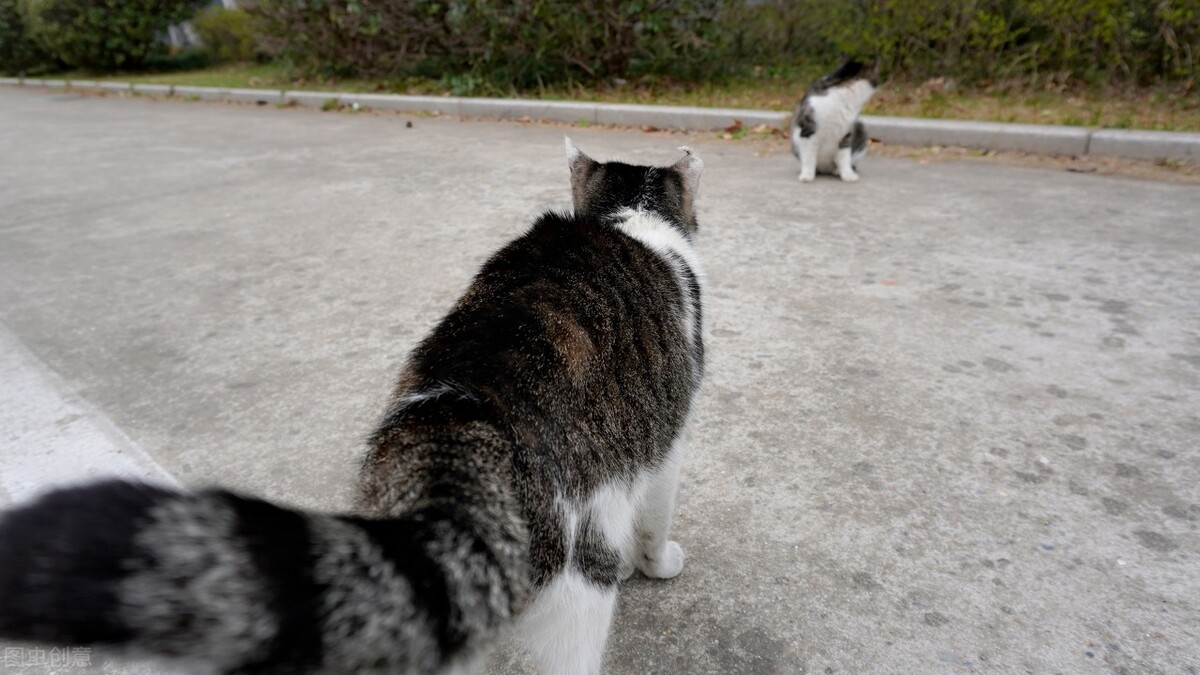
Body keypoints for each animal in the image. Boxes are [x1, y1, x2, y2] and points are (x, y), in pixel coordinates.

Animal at [0, 139, 700, 667]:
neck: (623, 218)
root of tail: (459, 415)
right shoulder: (670, 441)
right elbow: (657, 511)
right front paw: (655, 564)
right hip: (581, 576)